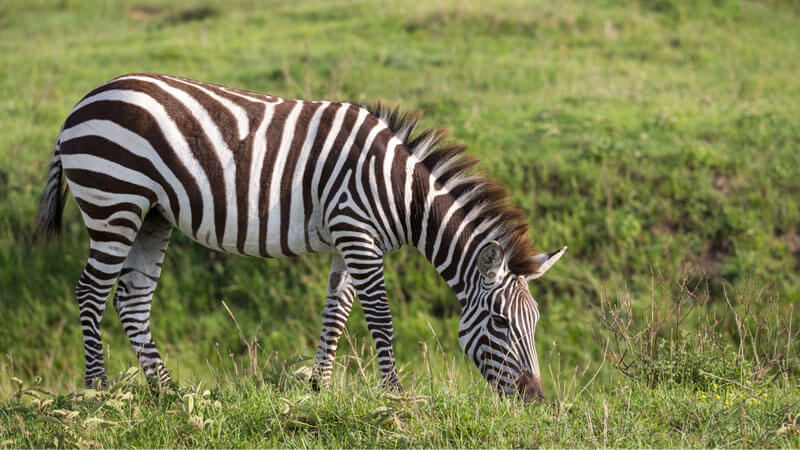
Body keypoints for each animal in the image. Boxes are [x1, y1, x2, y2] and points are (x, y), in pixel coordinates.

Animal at [37, 73, 564, 400]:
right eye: (500, 323)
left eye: (536, 323)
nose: (535, 400)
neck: (401, 192)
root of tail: (81, 103)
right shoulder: (358, 234)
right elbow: (380, 318)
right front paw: (395, 394)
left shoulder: (348, 243)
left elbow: (336, 315)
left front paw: (319, 388)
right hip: (114, 203)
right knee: (91, 291)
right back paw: (99, 388)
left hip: (152, 215)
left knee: (132, 298)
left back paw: (166, 391)